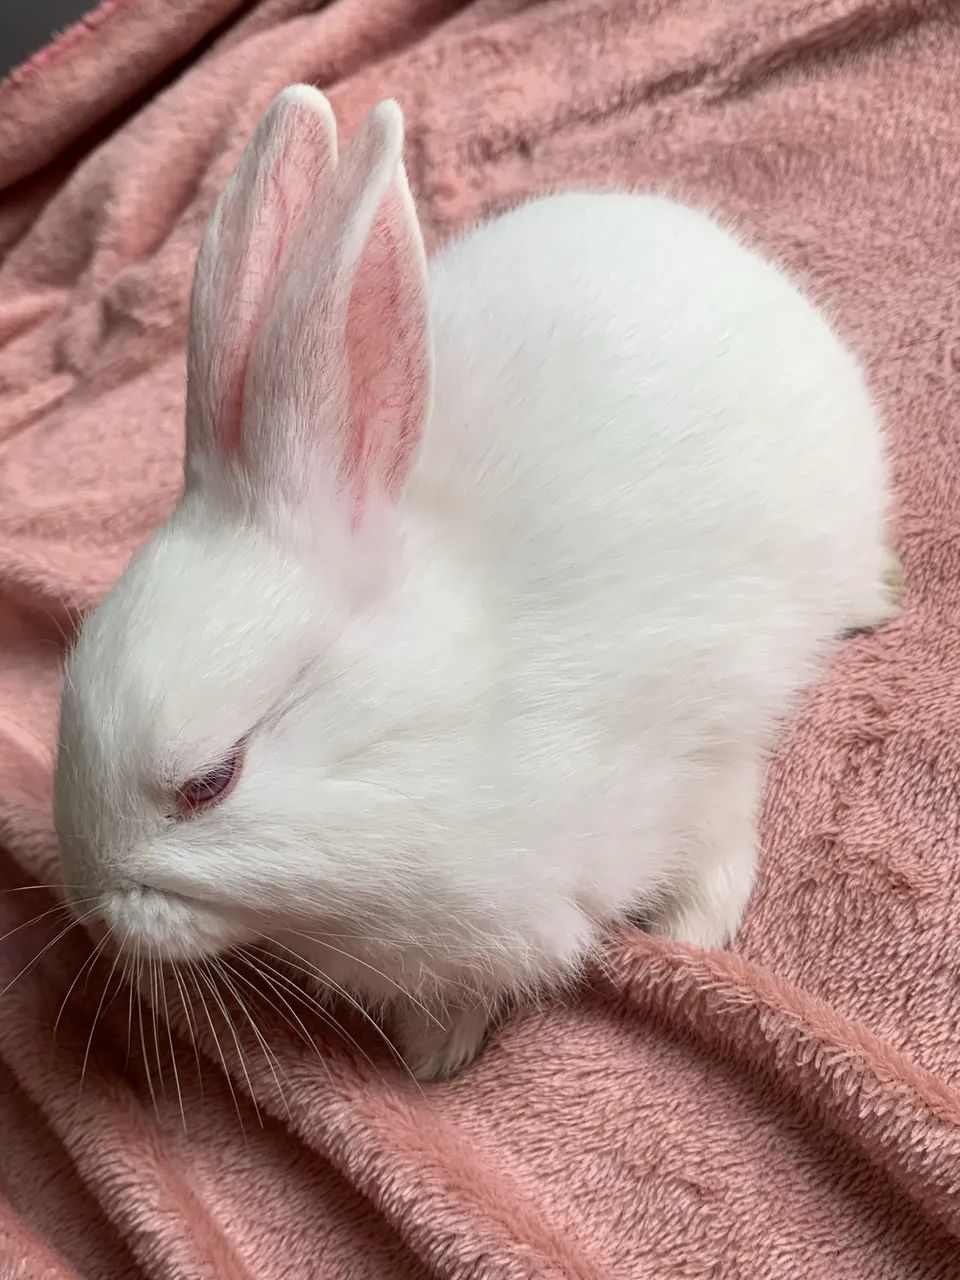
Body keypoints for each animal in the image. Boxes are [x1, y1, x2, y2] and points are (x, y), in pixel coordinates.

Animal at [52, 84, 897, 1083]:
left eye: (209, 782)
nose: (91, 904)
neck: (454, 712)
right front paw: (436, 1051)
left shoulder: (700, 758)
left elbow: (718, 846)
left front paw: (693, 936)